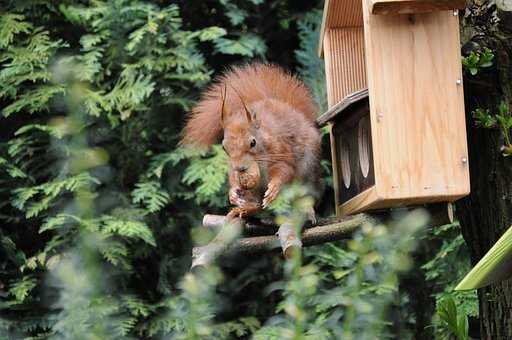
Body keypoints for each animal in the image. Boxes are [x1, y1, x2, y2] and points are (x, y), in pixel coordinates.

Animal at [182, 63, 322, 220]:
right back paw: (244, 209)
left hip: (307, 171)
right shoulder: (232, 167)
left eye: (253, 143)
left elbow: (284, 170)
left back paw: (306, 208)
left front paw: (273, 188)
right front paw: (233, 194)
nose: (240, 168)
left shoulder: (281, 152)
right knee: (257, 205)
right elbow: (233, 177)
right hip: (254, 191)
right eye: (224, 148)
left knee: (305, 195)